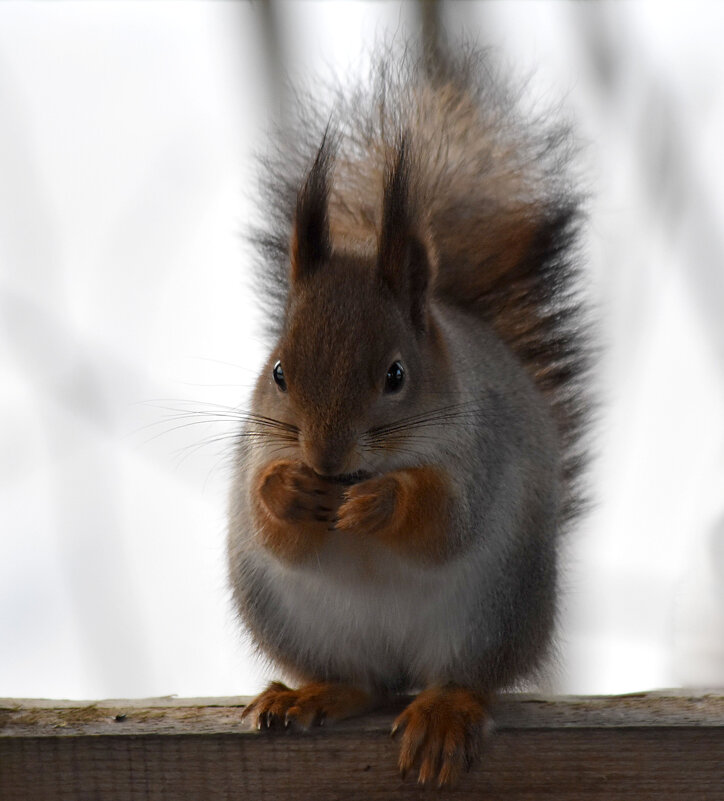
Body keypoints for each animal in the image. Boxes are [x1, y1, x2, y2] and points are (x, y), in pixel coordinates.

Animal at [226, 40, 588, 784]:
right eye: (278, 372)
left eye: (396, 375)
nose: (325, 456)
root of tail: (402, 670)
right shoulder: (259, 444)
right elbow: (272, 524)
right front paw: (288, 490)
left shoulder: (479, 454)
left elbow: (444, 521)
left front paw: (381, 502)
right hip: (292, 616)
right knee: (361, 682)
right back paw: (313, 693)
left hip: (491, 613)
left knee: (460, 678)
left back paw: (443, 715)